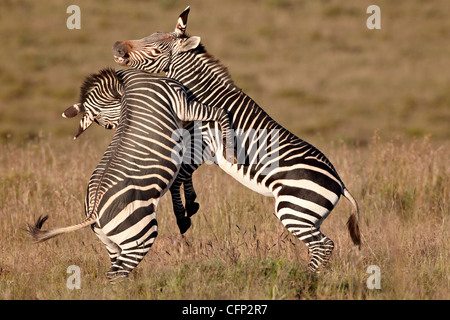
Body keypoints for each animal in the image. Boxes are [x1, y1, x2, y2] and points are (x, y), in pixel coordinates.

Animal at [25, 67, 232, 280]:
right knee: (118, 272)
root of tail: (93, 212)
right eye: (108, 125)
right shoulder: (183, 105)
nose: (116, 128)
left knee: (114, 270)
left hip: (111, 242)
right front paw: (228, 144)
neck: (127, 81)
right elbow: (220, 113)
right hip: (139, 233)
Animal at [110, 6, 360, 272]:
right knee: (321, 246)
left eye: (156, 48)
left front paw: (184, 215)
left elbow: (180, 175)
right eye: (151, 33)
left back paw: (307, 277)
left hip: (295, 209)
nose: (116, 46)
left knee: (324, 245)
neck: (208, 95)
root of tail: (340, 183)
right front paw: (191, 205)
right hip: (308, 216)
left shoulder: (204, 142)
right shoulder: (204, 146)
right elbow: (184, 175)